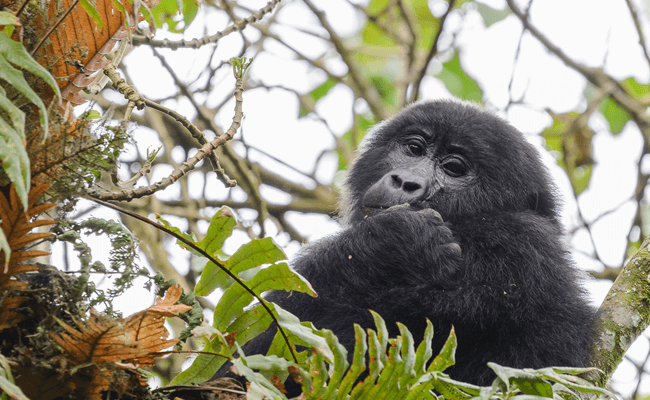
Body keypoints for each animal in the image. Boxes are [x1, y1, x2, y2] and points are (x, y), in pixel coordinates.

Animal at [237, 99, 592, 388]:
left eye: (454, 168)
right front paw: (395, 246)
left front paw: (391, 249)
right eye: (415, 148)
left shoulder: (517, 247)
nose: (405, 181)